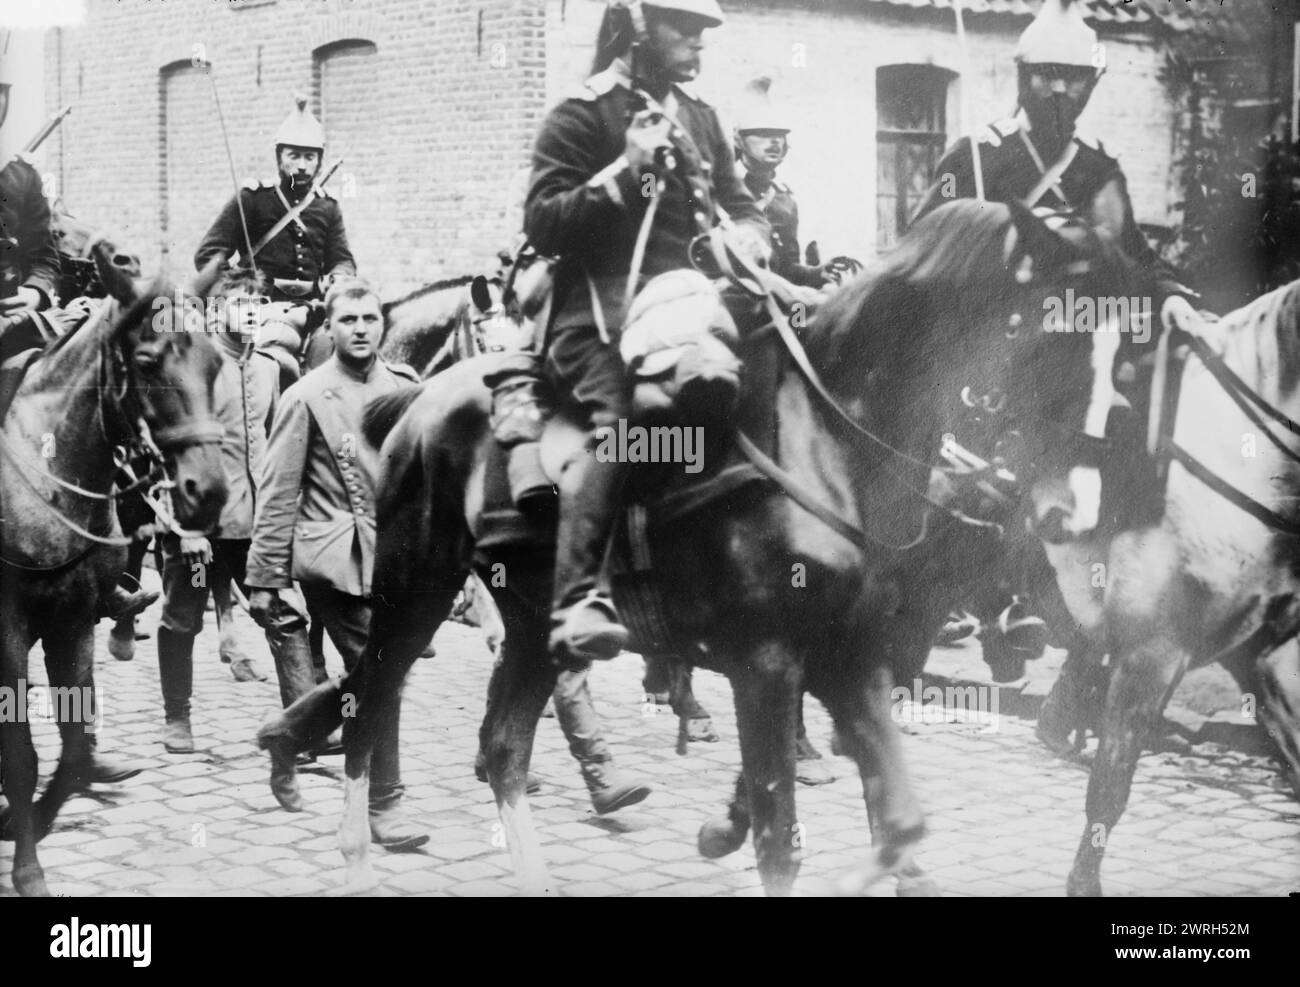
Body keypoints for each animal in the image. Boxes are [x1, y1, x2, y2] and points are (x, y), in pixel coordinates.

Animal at [0, 247, 228, 894]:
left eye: (214, 362)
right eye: (147, 361)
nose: (208, 491)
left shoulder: (72, 620)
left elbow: (74, 747)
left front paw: (30, 821)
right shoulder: (10, 629)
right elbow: (20, 754)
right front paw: (28, 867)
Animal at [322, 196, 1138, 899]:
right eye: (1055, 333)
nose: (1077, 509)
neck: (827, 442)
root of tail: (418, 398)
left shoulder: (848, 654)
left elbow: (898, 821)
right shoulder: (767, 662)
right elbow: (783, 841)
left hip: (532, 622)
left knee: (503, 745)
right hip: (413, 587)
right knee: (367, 708)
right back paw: (357, 862)